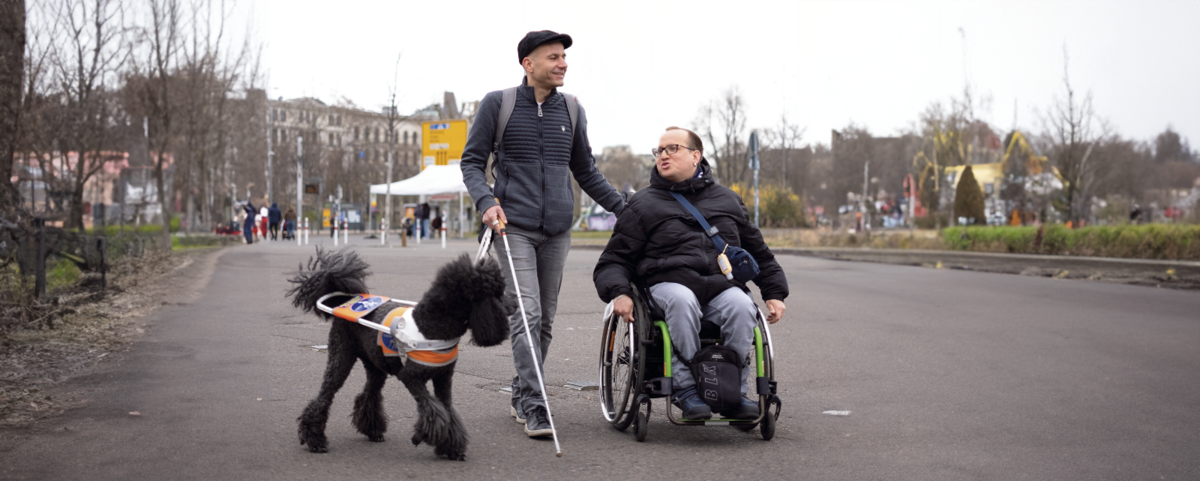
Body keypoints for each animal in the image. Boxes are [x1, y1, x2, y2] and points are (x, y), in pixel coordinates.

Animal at [290, 249, 516, 458]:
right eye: (497, 292)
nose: (514, 305)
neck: (432, 325)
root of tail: (347, 300)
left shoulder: (444, 378)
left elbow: (448, 410)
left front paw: (451, 447)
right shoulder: (410, 377)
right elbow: (433, 408)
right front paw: (426, 436)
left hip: (376, 366)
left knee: (369, 393)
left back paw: (373, 431)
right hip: (341, 356)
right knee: (325, 395)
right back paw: (315, 441)